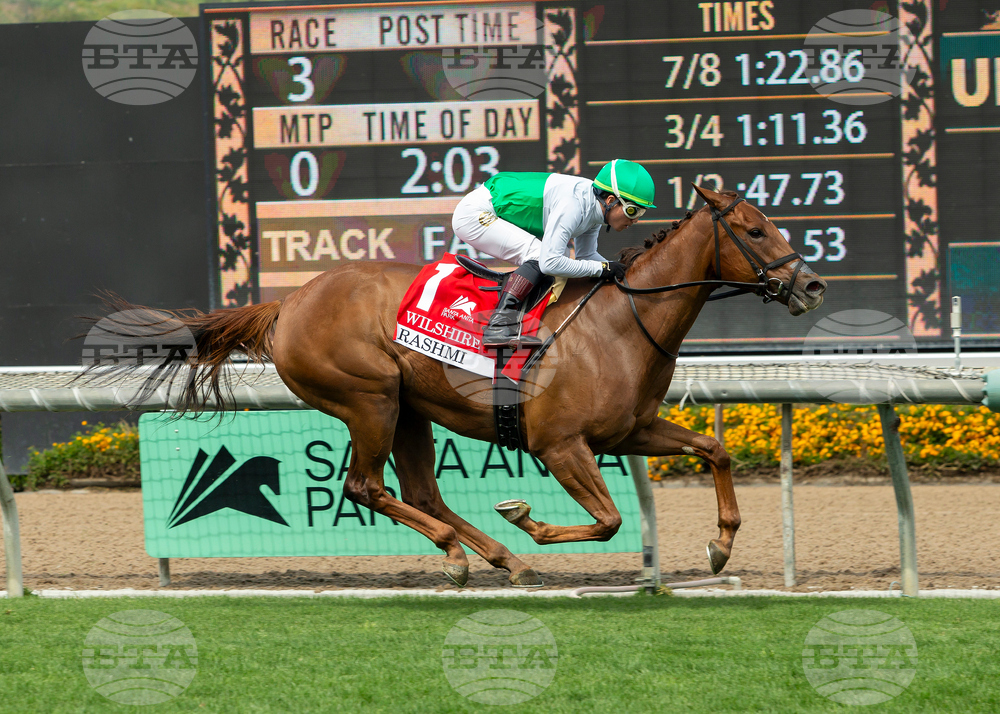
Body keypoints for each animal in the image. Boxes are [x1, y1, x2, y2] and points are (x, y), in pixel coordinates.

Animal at [100, 185, 827, 588]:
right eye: (756, 230)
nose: (813, 285)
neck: (623, 322)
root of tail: (288, 302)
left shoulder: (633, 431)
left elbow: (714, 450)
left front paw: (720, 545)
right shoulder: (561, 444)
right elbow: (609, 519)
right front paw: (529, 519)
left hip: (410, 409)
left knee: (421, 491)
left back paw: (500, 559)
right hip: (370, 399)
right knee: (366, 486)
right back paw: (463, 556)